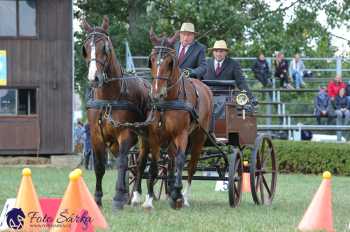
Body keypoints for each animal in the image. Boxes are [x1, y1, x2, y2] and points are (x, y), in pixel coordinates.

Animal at [82, 17, 150, 211]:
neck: (109, 98)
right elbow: (99, 166)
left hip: (146, 136)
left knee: (141, 163)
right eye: (85, 47)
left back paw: (135, 196)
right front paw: (97, 199)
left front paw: (119, 197)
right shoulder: (96, 135)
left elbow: (121, 163)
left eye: (105, 47)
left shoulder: (125, 133)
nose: (94, 78)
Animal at [131, 29, 213, 208]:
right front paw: (149, 199)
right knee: (149, 162)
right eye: (151, 60)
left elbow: (181, 161)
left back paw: (184, 196)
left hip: (198, 137)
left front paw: (177, 193)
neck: (167, 102)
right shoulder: (154, 136)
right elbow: (154, 166)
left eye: (170, 62)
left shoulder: (181, 134)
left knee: (191, 166)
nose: (156, 94)